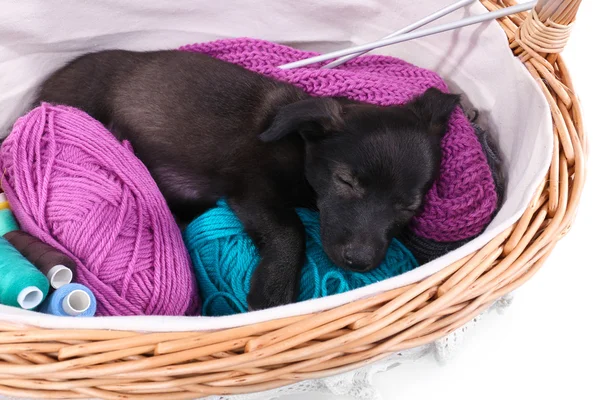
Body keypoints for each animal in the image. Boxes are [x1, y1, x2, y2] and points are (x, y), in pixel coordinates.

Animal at [36, 50, 460, 310]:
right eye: (346, 181)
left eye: (410, 207)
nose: (359, 263)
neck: (299, 145)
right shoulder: (251, 187)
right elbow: (291, 229)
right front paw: (273, 292)